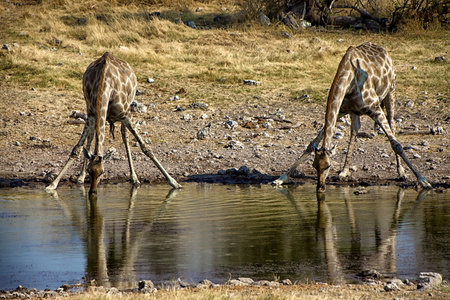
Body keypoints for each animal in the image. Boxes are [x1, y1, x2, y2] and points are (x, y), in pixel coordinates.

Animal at [44, 52, 180, 196]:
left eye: (102, 172)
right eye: (89, 171)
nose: (92, 192)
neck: (106, 88)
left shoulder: (126, 115)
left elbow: (145, 147)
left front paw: (174, 182)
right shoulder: (92, 114)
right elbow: (77, 149)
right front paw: (52, 184)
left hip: (128, 107)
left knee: (125, 137)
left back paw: (135, 178)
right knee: (91, 138)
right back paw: (80, 178)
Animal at [274, 41, 432, 192]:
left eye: (328, 166)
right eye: (314, 165)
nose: (320, 187)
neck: (349, 79)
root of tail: (384, 51)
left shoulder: (375, 109)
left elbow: (396, 144)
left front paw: (423, 181)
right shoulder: (342, 110)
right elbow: (311, 143)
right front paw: (281, 178)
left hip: (391, 90)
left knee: (392, 124)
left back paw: (401, 172)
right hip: (354, 111)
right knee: (355, 130)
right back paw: (344, 171)